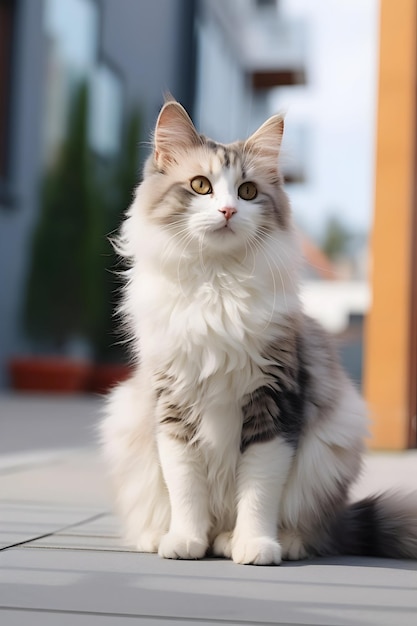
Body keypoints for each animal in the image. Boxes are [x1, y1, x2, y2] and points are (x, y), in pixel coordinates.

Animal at [99, 100, 414, 564]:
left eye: (247, 192)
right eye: (201, 186)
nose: (228, 211)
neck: (216, 285)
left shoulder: (275, 401)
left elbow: (259, 489)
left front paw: (256, 545)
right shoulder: (172, 403)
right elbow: (185, 485)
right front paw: (185, 540)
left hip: (333, 446)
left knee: (310, 528)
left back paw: (259, 541)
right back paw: (167, 536)